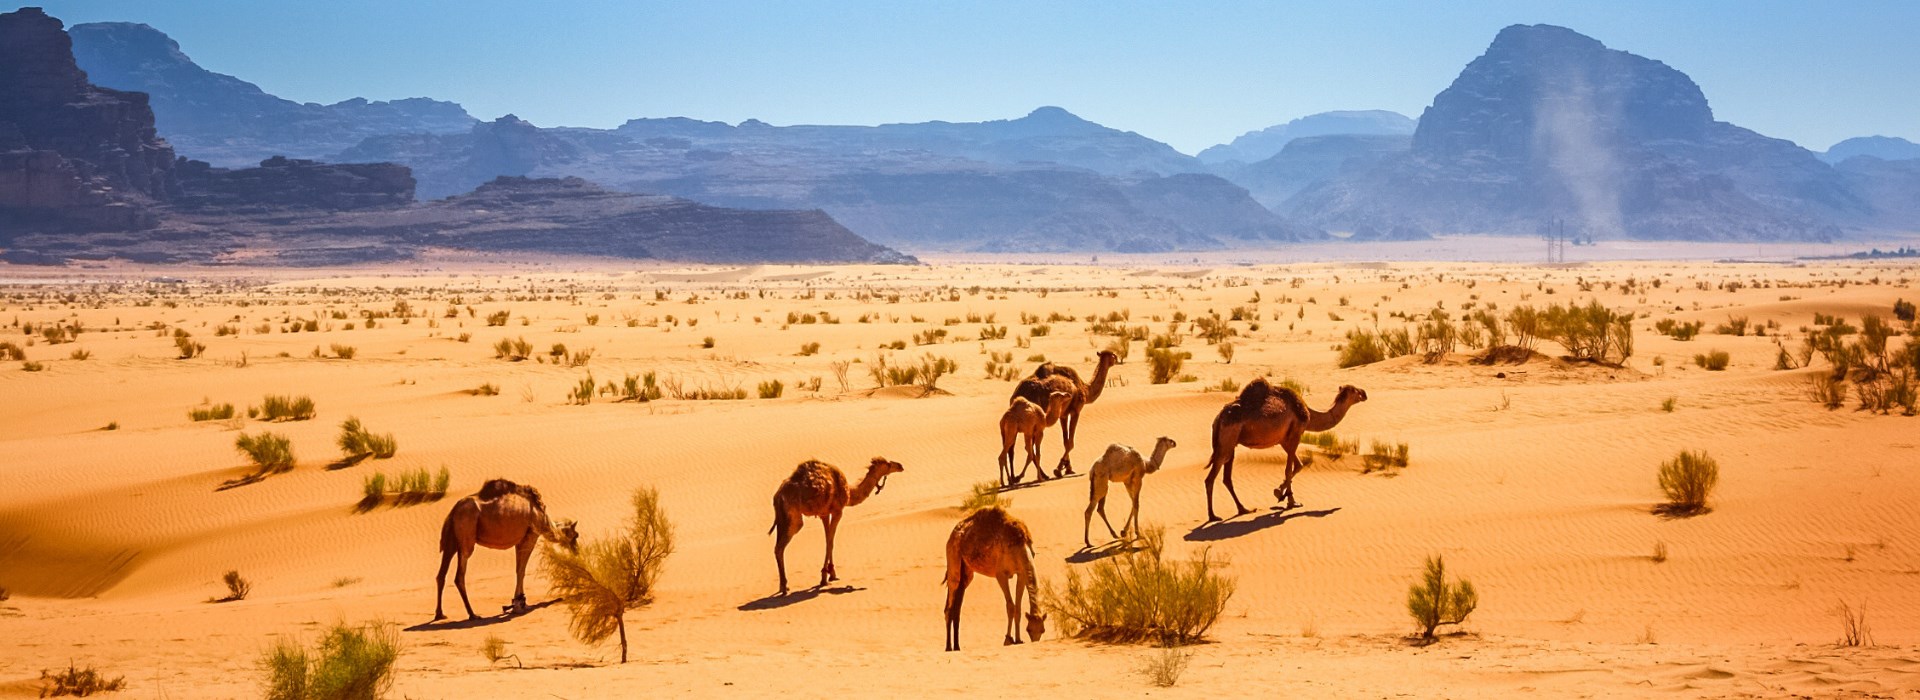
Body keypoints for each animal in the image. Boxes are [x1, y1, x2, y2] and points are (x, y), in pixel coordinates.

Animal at [435, 477, 576, 617]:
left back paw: (440, 614)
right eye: (575, 535)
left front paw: (519, 602)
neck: (542, 516)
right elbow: (521, 571)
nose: (576, 551)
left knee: (441, 574)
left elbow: (518, 569)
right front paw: (519, 605)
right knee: (459, 575)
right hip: (466, 536)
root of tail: (453, 511)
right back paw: (472, 614)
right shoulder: (531, 536)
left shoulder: (519, 541)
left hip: (451, 540)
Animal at [764, 458, 906, 594]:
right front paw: (824, 577)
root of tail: (778, 496)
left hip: (782, 519)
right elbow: (831, 542)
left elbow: (828, 540)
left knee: (778, 546)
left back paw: (782, 587)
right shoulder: (838, 511)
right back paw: (784, 587)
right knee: (780, 547)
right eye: (888, 464)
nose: (900, 466)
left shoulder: (824, 513)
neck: (849, 491)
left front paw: (830, 574)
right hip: (794, 518)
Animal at [936, 506, 1044, 652]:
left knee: (957, 606)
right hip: (953, 557)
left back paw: (957, 646)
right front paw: (1008, 639)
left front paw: (1018, 640)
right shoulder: (1001, 574)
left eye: (1042, 630)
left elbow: (1018, 607)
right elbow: (1010, 606)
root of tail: (953, 533)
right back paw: (948, 647)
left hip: (966, 571)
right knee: (950, 603)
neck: (1020, 545)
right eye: (1029, 630)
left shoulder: (1021, 573)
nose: (1035, 642)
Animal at [1198, 379, 1367, 521]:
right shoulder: (1296, 433)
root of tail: (1218, 419)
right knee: (1210, 478)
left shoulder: (1283, 440)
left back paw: (1243, 509)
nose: (1364, 393)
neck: (1309, 415)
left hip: (1230, 445)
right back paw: (1213, 516)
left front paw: (1283, 495)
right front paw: (1286, 498)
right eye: (1354, 390)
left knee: (1227, 478)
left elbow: (1298, 466)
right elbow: (1289, 469)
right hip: (1226, 442)